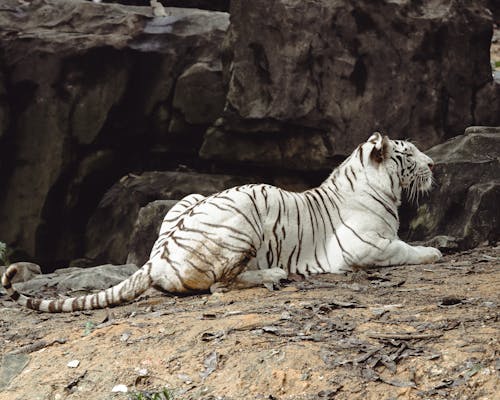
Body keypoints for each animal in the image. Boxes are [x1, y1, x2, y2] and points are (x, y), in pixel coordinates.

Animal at [2, 133, 442, 310]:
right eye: (408, 153)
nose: (435, 164)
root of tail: (156, 257)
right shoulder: (363, 246)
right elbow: (406, 249)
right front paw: (434, 252)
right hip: (244, 218)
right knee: (218, 286)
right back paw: (273, 275)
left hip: (189, 200)